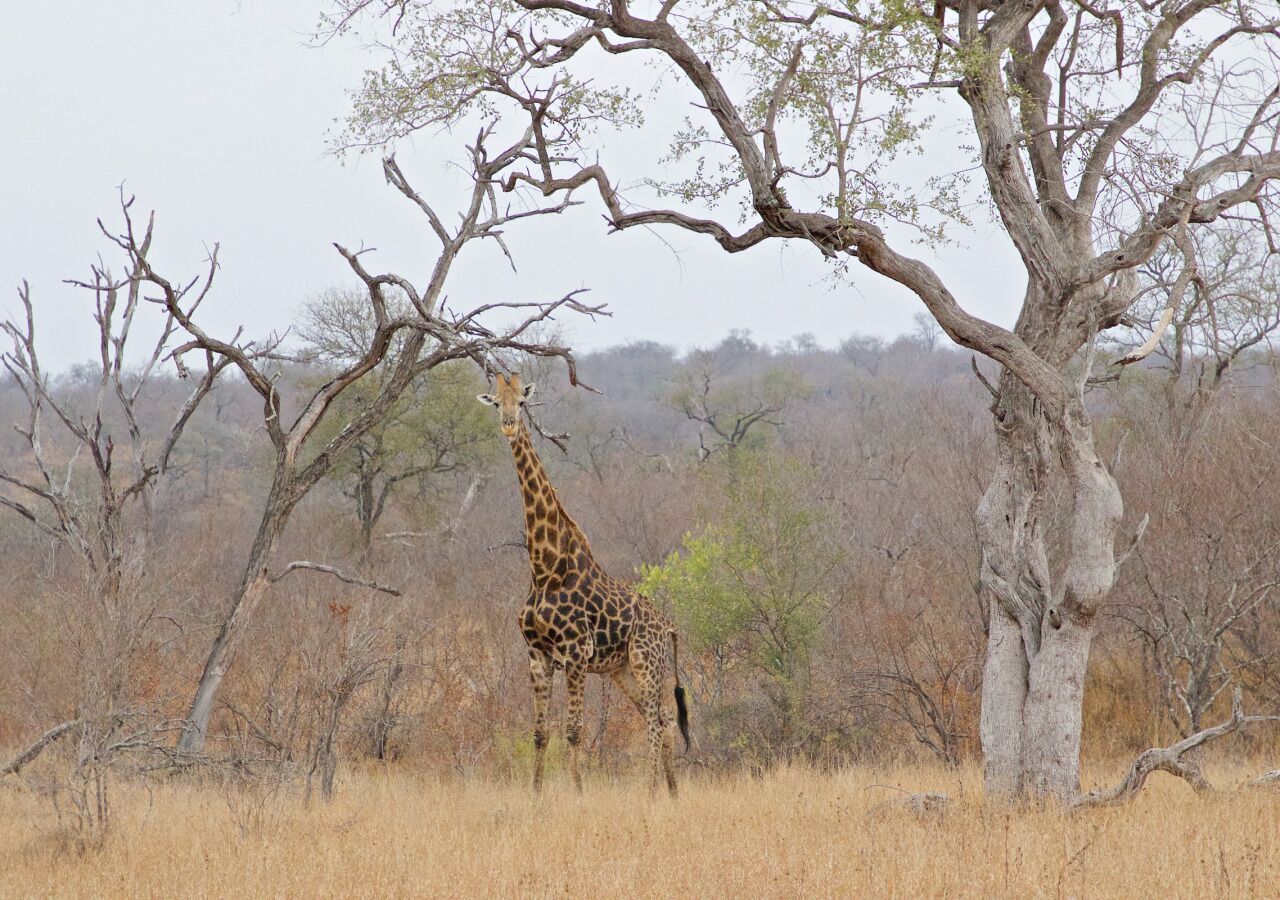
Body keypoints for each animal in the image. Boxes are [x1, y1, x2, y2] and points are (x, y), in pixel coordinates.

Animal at [477, 373, 689, 795]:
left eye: (522, 402)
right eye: (495, 402)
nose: (508, 425)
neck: (545, 568)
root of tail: (668, 626)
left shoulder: (575, 653)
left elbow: (574, 731)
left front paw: (578, 794)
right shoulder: (537, 655)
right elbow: (540, 733)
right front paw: (536, 795)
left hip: (645, 662)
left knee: (657, 721)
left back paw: (650, 792)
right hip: (622, 671)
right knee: (661, 718)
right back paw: (671, 795)